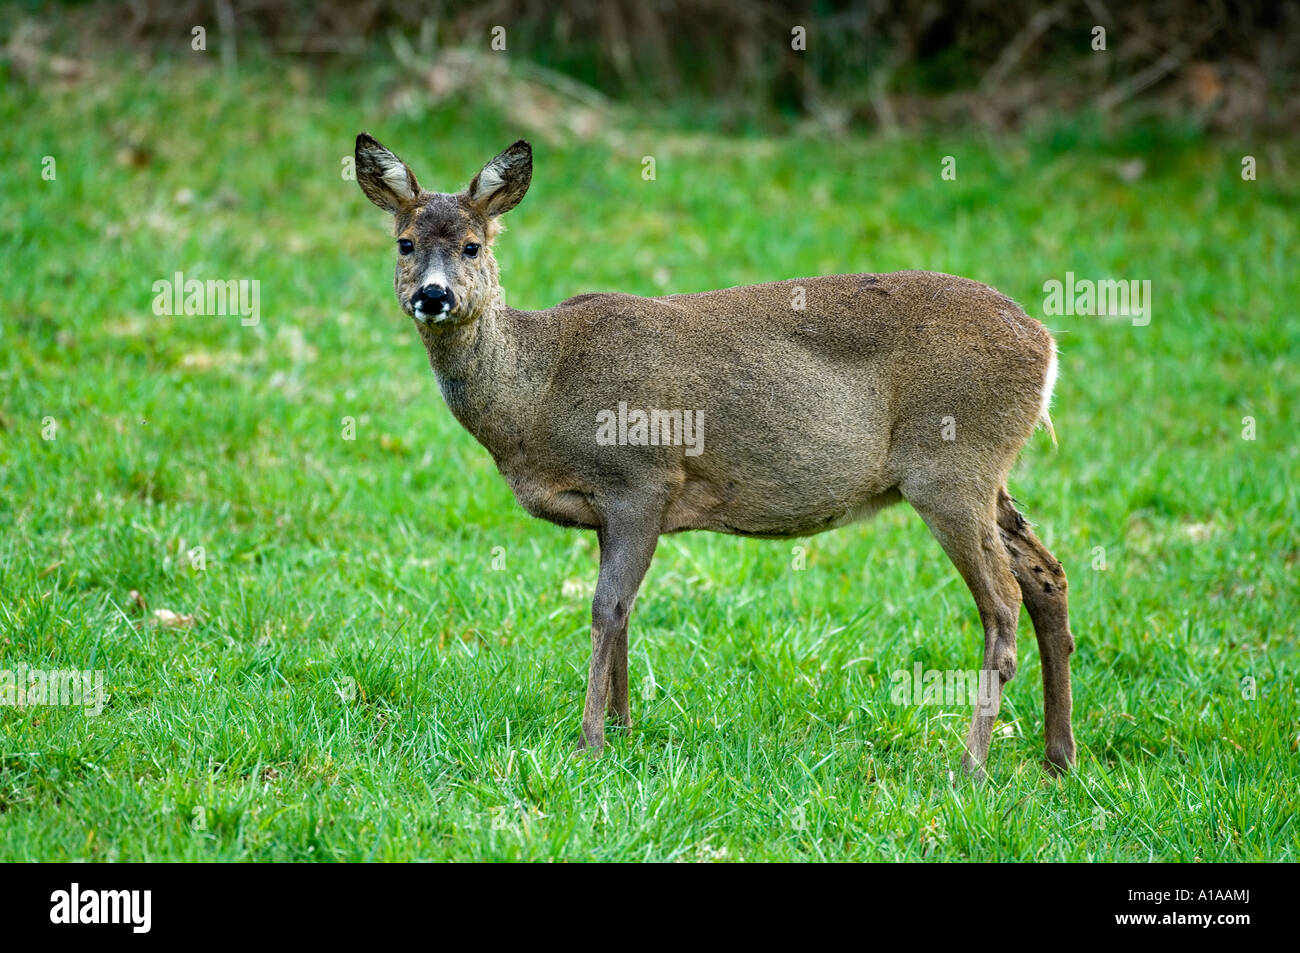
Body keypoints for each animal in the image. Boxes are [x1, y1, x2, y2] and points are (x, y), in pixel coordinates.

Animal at [354, 133, 1077, 778]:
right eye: (405, 242)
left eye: (473, 246)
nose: (433, 295)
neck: (541, 390)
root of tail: (1046, 345)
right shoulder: (609, 509)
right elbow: (622, 613)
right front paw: (624, 729)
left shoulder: (642, 478)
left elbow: (605, 609)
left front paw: (591, 741)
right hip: (988, 475)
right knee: (1047, 575)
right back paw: (1058, 757)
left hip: (951, 467)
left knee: (1003, 602)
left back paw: (971, 767)